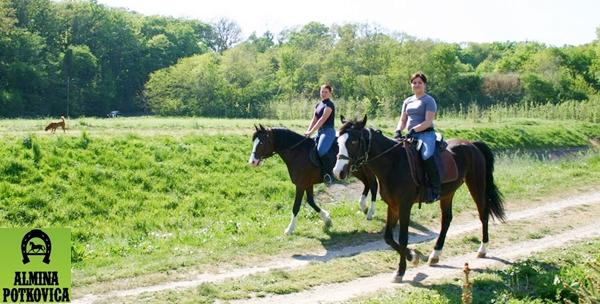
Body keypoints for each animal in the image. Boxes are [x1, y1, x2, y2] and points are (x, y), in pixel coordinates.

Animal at [247, 123, 378, 235]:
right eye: (254, 141)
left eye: (262, 142)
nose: (252, 162)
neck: (297, 152)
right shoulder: (307, 183)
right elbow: (311, 201)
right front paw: (327, 219)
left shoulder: (300, 185)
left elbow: (296, 206)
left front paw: (290, 229)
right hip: (356, 170)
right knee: (367, 183)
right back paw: (363, 206)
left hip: (363, 170)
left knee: (373, 184)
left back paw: (370, 212)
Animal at [332, 115, 506, 282]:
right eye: (338, 141)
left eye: (353, 141)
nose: (338, 172)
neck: (393, 163)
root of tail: (471, 144)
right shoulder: (393, 206)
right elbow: (388, 237)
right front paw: (412, 257)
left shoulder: (404, 206)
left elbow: (402, 238)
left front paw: (400, 271)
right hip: (447, 193)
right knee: (447, 219)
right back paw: (435, 255)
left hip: (476, 185)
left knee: (483, 214)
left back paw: (482, 249)